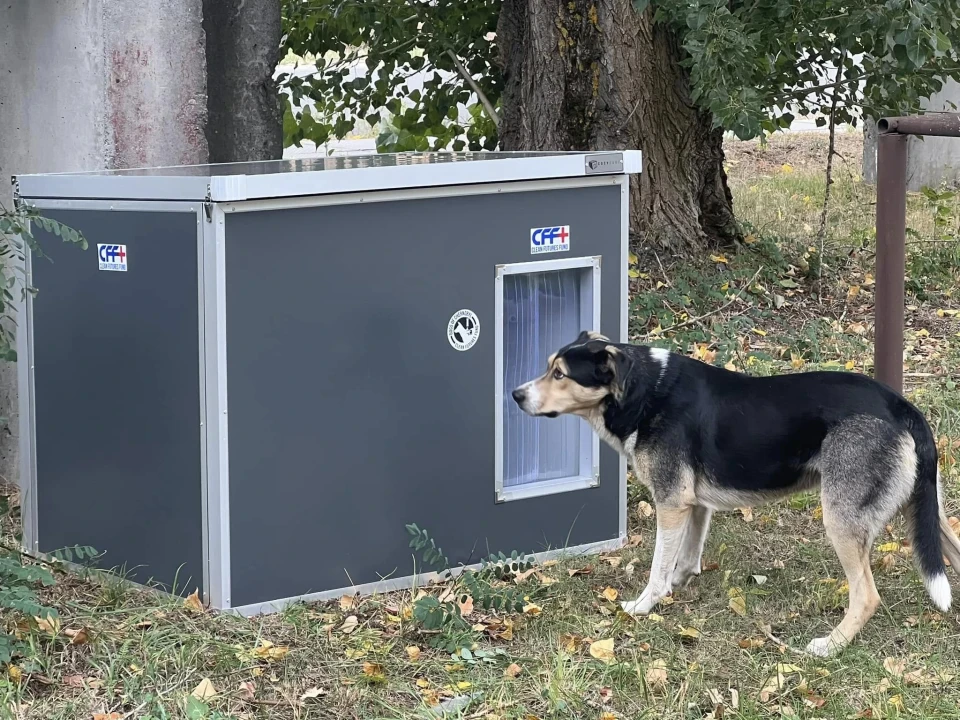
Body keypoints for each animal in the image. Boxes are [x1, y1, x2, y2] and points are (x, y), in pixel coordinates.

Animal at [512, 330, 956, 656]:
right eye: (548, 368)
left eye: (560, 374)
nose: (515, 395)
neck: (643, 391)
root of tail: (901, 405)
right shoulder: (694, 505)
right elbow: (685, 558)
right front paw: (679, 583)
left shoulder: (670, 503)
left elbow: (657, 568)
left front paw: (643, 606)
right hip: (925, 513)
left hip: (842, 520)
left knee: (866, 596)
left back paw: (830, 646)